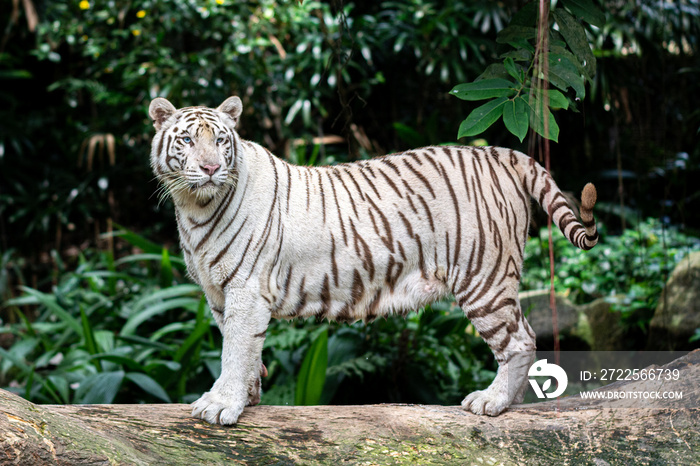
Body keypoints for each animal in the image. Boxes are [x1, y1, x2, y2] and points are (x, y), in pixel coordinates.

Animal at [148, 96, 596, 424]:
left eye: (221, 141)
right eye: (187, 141)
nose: (211, 168)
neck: (194, 208)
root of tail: (502, 154)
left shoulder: (245, 289)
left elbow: (235, 349)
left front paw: (221, 404)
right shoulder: (218, 294)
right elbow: (244, 350)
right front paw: (248, 395)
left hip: (482, 277)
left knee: (520, 340)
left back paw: (493, 402)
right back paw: (515, 401)